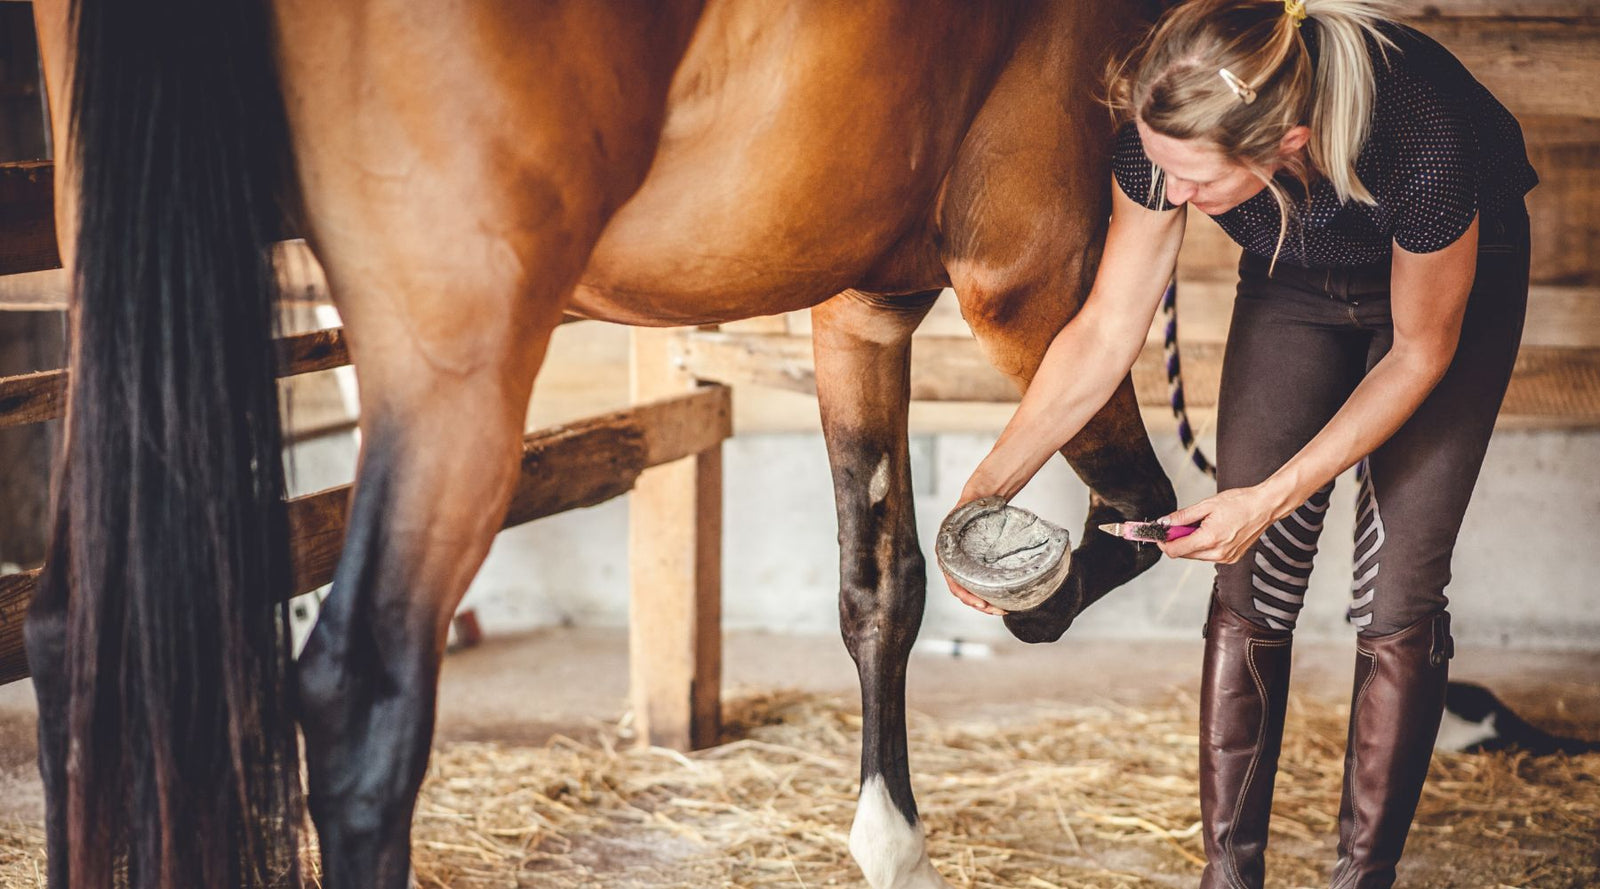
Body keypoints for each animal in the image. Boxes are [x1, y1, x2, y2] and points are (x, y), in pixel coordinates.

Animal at [25, 1, 1176, 886]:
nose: (1030, 619)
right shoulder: (1030, 278)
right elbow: (1138, 502)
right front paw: (1044, 596)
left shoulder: (863, 310)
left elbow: (880, 584)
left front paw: (892, 845)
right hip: (452, 368)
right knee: (358, 707)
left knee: (72, 636)